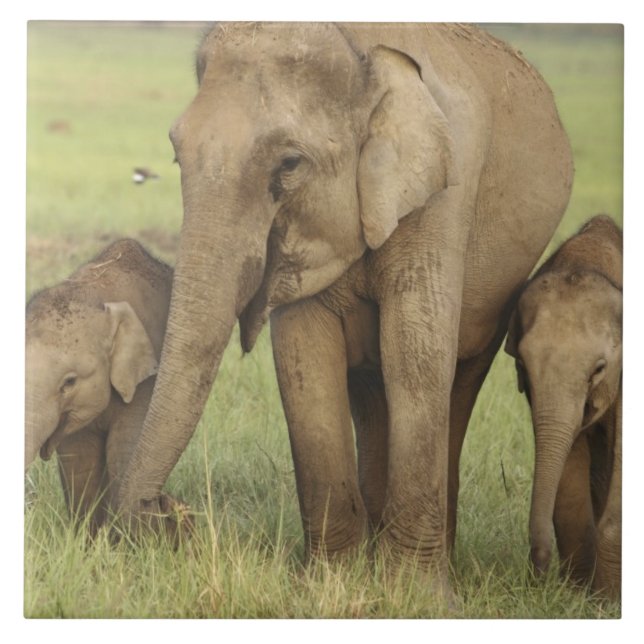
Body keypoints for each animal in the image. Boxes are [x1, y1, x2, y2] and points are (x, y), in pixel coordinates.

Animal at [25, 239, 190, 536]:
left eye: (69, 382)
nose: (169, 505)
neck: (95, 296)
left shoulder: (145, 382)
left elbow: (123, 450)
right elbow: (79, 460)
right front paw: (87, 541)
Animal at [113, 22, 573, 591]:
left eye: (289, 164)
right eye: (177, 155)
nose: (170, 513)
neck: (357, 44)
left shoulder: (445, 191)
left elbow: (416, 357)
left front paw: (414, 596)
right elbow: (304, 361)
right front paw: (328, 583)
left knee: (457, 378)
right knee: (371, 392)